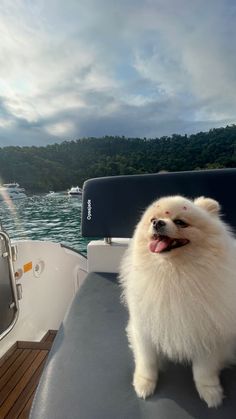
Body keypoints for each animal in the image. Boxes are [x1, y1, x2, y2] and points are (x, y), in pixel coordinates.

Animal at [120, 197, 236, 410]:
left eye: (181, 222)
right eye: (153, 219)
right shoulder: (144, 326)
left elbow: (204, 370)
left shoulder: (209, 333)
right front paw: (144, 383)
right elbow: (147, 361)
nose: (158, 223)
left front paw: (210, 392)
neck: (173, 274)